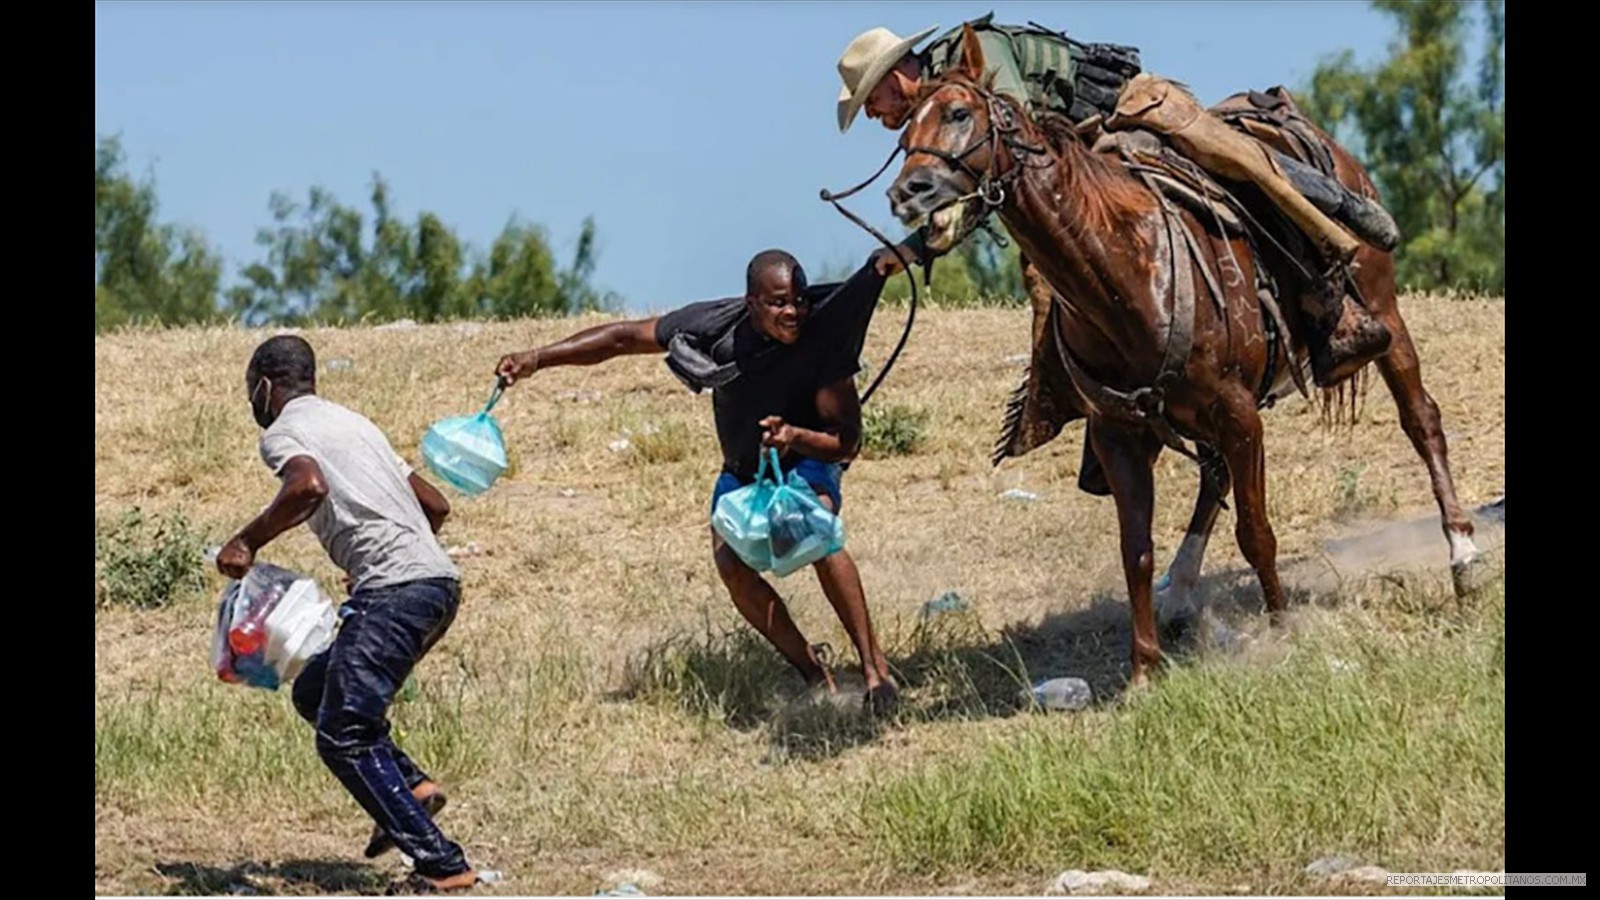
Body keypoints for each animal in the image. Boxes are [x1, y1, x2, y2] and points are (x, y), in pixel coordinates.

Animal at [889, 26, 1484, 685]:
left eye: (959, 113)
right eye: (903, 133)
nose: (907, 192)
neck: (1124, 270)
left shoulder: (1240, 414)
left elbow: (1256, 532)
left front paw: (1282, 631)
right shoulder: (1120, 432)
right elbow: (1137, 550)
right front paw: (1144, 671)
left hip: (1385, 316)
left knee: (1421, 421)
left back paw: (1463, 556)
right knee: (1214, 476)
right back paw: (1180, 593)